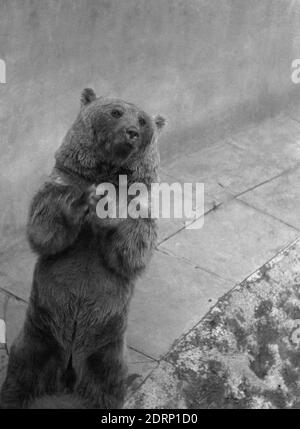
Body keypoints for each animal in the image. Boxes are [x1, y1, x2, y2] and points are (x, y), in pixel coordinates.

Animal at [0, 88, 165, 408]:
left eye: (143, 120)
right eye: (115, 112)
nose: (132, 132)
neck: (107, 172)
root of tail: (68, 370)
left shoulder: (140, 206)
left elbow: (133, 251)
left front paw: (107, 212)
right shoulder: (60, 181)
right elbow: (45, 228)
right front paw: (80, 204)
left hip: (108, 345)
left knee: (109, 381)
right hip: (39, 333)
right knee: (21, 369)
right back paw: (12, 395)